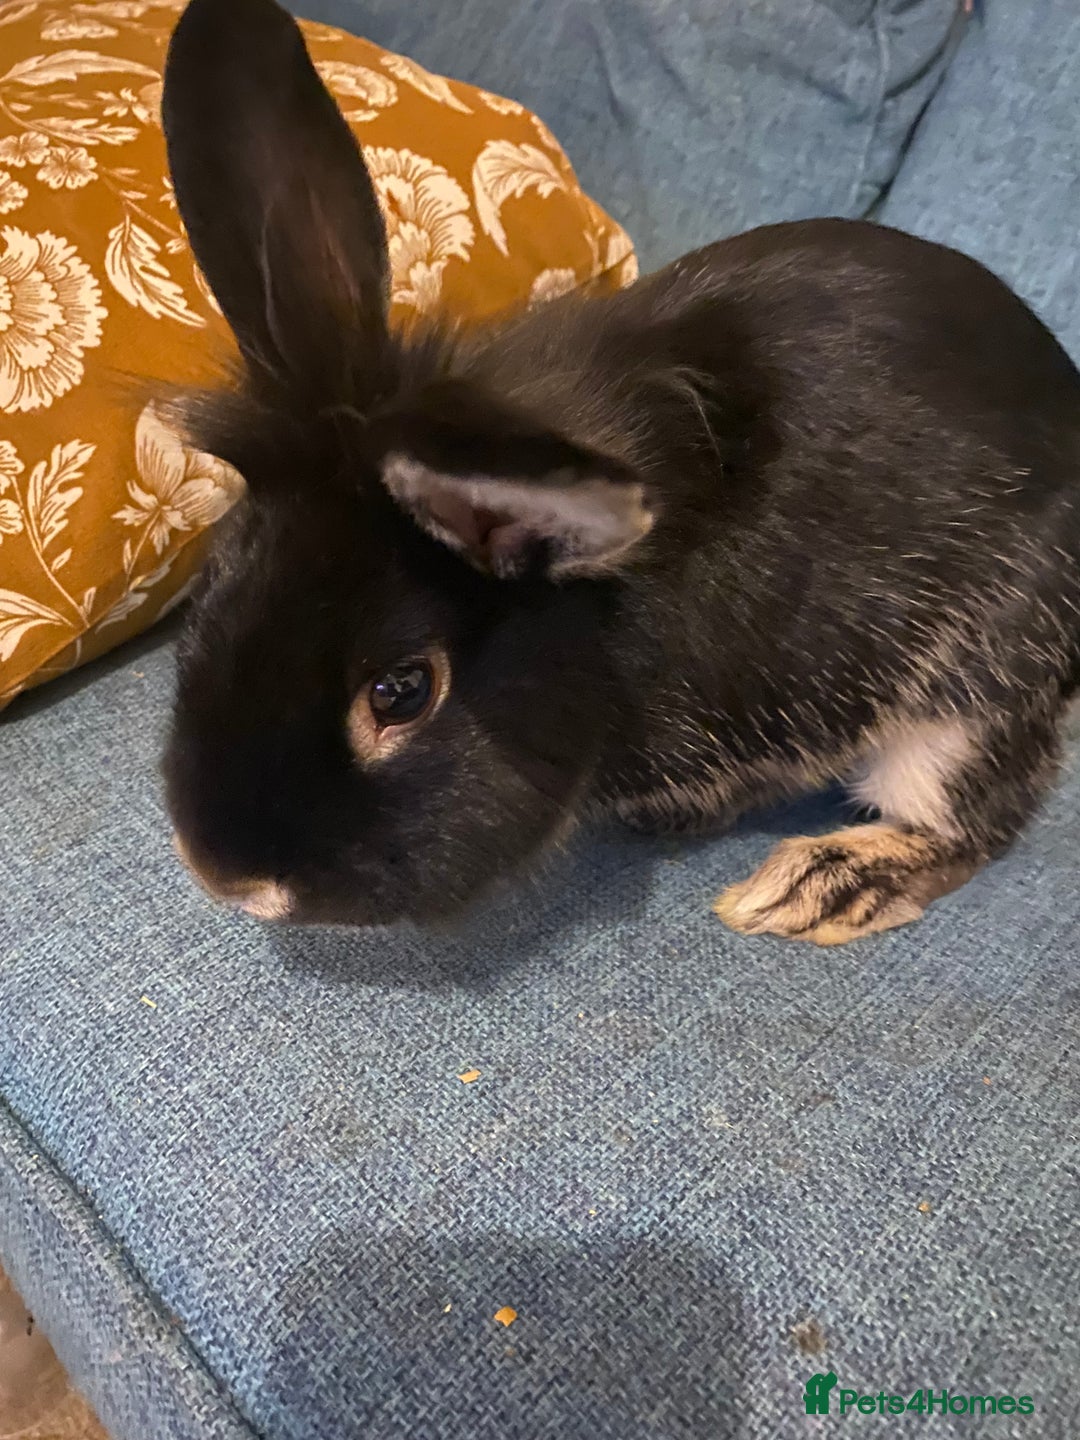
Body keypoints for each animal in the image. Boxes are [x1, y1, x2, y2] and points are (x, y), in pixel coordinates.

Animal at [161, 0, 1080, 941]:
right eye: (212, 589)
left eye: (401, 692)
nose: (227, 878)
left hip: (976, 681)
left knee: (965, 819)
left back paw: (817, 885)